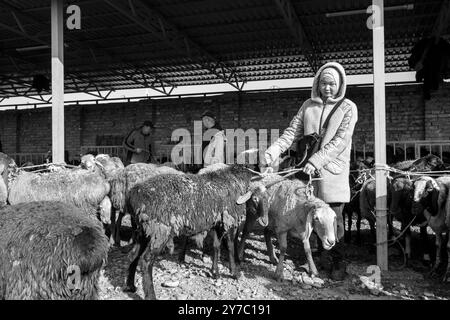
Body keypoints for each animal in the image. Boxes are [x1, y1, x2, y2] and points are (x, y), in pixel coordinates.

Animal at [125, 165, 262, 300]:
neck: (237, 182)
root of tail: (133, 195)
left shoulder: (216, 223)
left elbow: (216, 246)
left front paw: (215, 273)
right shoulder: (228, 220)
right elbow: (230, 246)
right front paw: (235, 273)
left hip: (143, 231)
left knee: (133, 255)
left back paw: (130, 286)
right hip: (160, 230)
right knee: (146, 260)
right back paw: (151, 295)